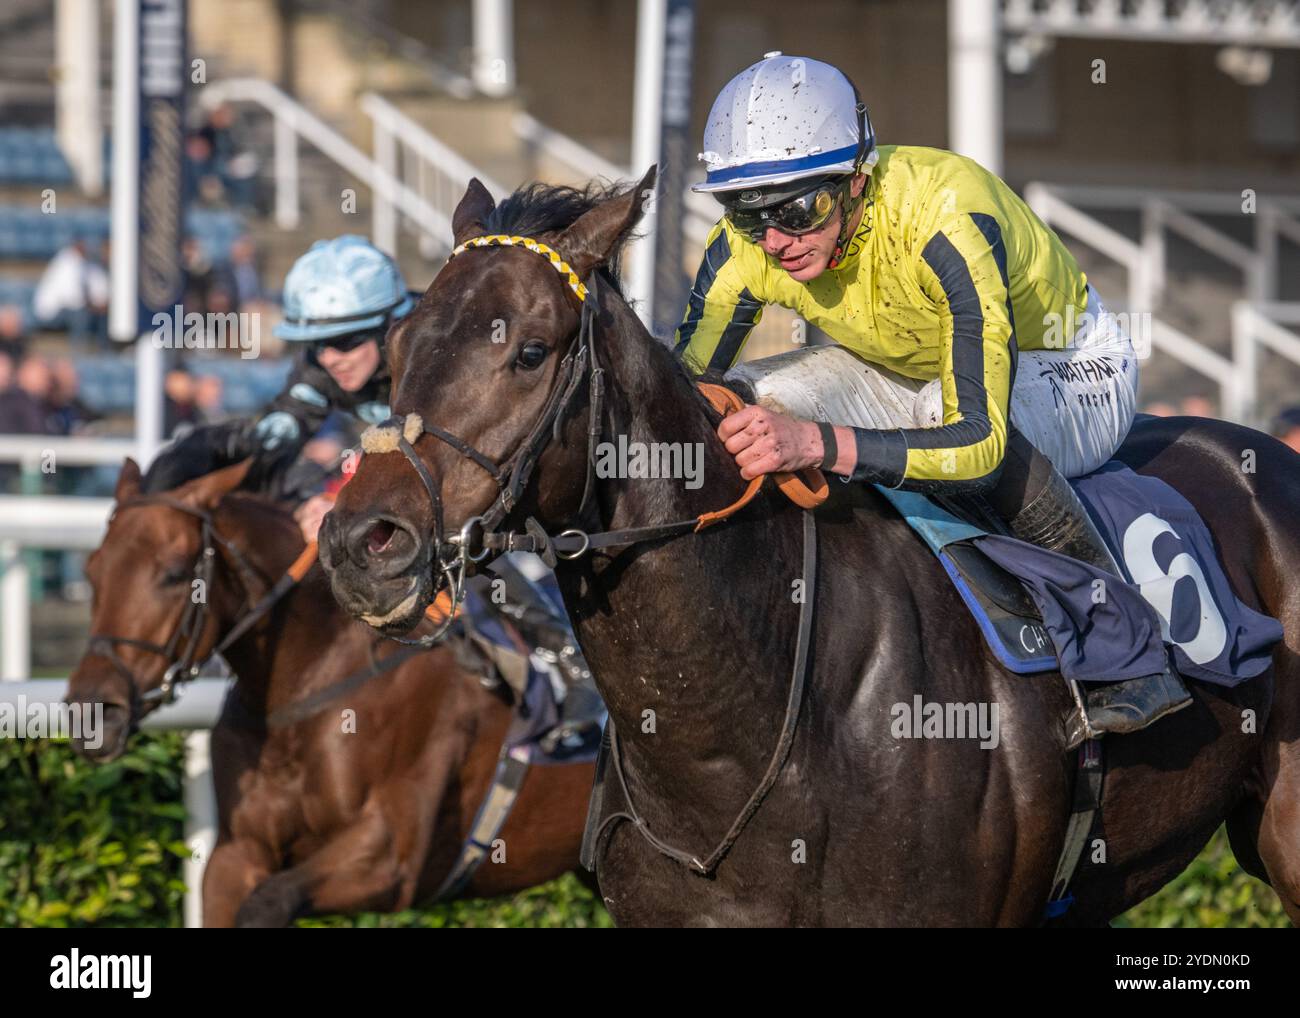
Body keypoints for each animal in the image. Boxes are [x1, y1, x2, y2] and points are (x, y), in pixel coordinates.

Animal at [68, 457, 595, 925]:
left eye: (175, 573)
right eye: (93, 571)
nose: (93, 713)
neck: (307, 683)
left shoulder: (390, 856)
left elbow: (267, 903)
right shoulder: (236, 854)